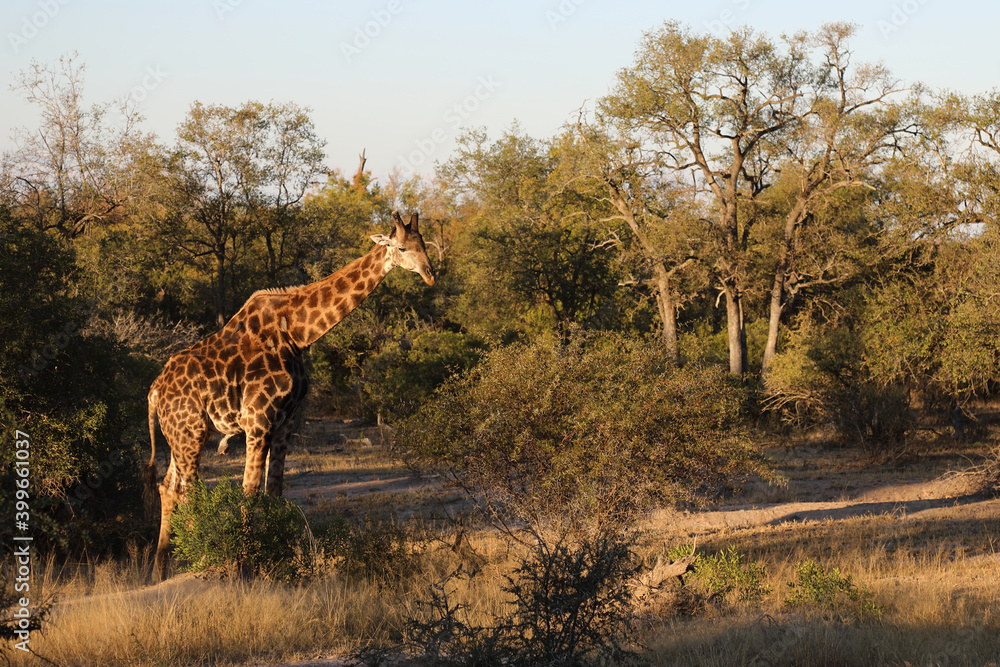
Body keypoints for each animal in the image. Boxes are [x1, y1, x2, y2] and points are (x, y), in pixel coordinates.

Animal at [144, 211, 435, 581]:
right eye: (402, 248)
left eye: (424, 244)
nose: (430, 275)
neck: (297, 332)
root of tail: (154, 392)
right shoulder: (258, 420)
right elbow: (249, 492)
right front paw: (244, 566)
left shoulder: (285, 423)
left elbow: (275, 493)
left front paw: (275, 561)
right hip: (190, 433)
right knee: (189, 490)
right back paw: (202, 560)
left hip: (180, 434)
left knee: (169, 486)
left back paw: (160, 571)